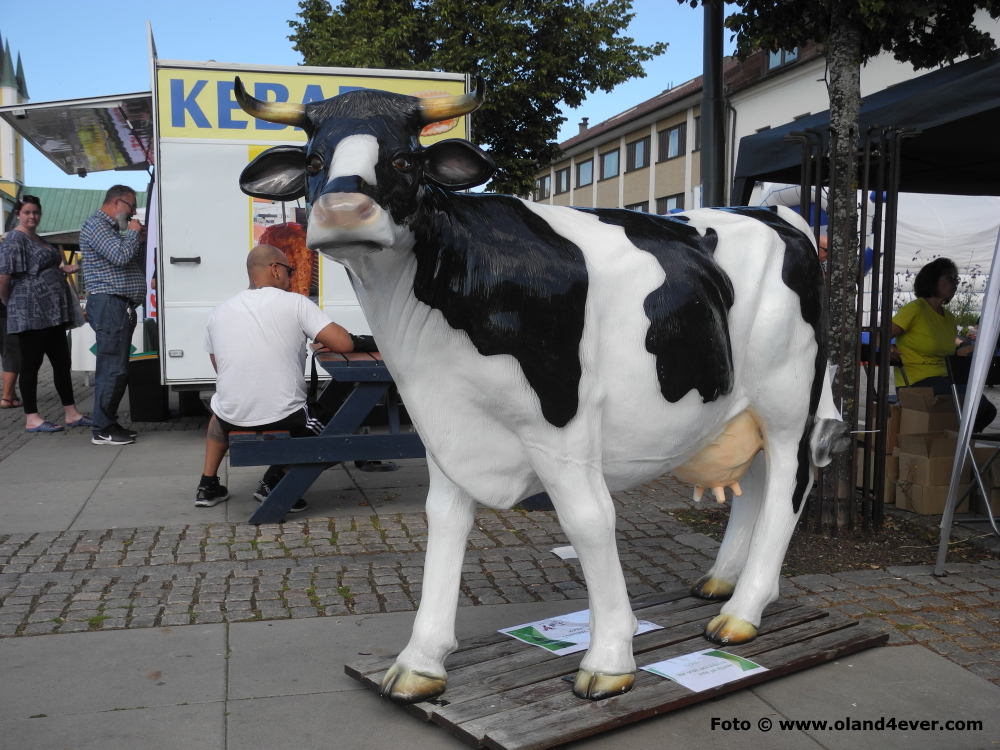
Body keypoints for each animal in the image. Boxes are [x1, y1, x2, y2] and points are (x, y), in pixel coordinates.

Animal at [236, 78, 852, 704]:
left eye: (405, 160)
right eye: (314, 161)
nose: (342, 211)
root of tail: (775, 212)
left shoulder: (562, 421)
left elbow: (588, 519)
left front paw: (610, 658)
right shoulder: (444, 422)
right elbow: (445, 520)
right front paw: (421, 660)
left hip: (787, 397)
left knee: (788, 484)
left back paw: (744, 610)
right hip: (740, 406)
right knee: (755, 483)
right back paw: (722, 582)